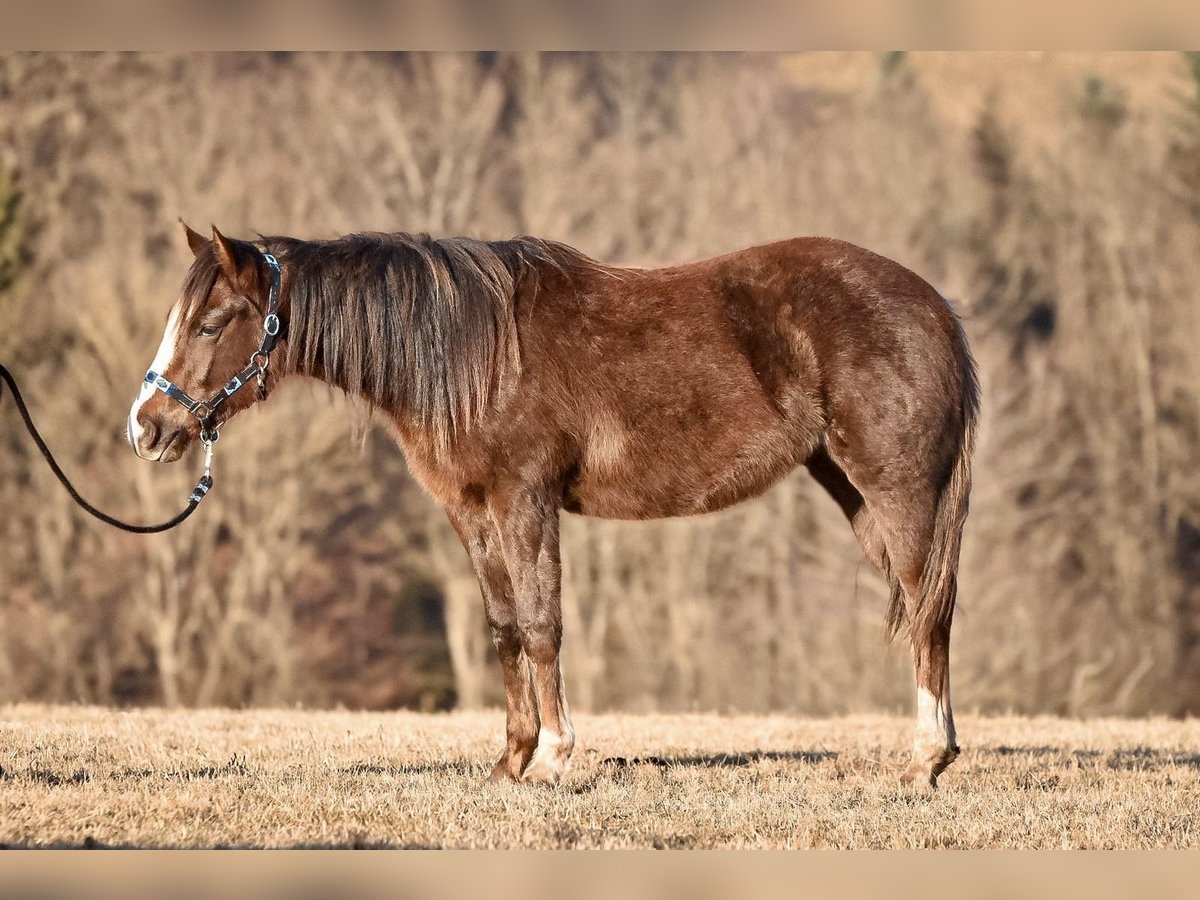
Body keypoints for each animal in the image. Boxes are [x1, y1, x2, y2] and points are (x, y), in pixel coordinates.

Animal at [129, 224, 974, 787]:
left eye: (212, 322)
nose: (147, 427)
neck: (470, 352)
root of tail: (935, 307)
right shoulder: (470, 511)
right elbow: (505, 630)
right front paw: (512, 759)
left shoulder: (524, 500)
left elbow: (542, 626)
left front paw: (558, 757)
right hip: (853, 491)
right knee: (923, 611)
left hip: (897, 491)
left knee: (930, 612)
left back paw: (925, 760)